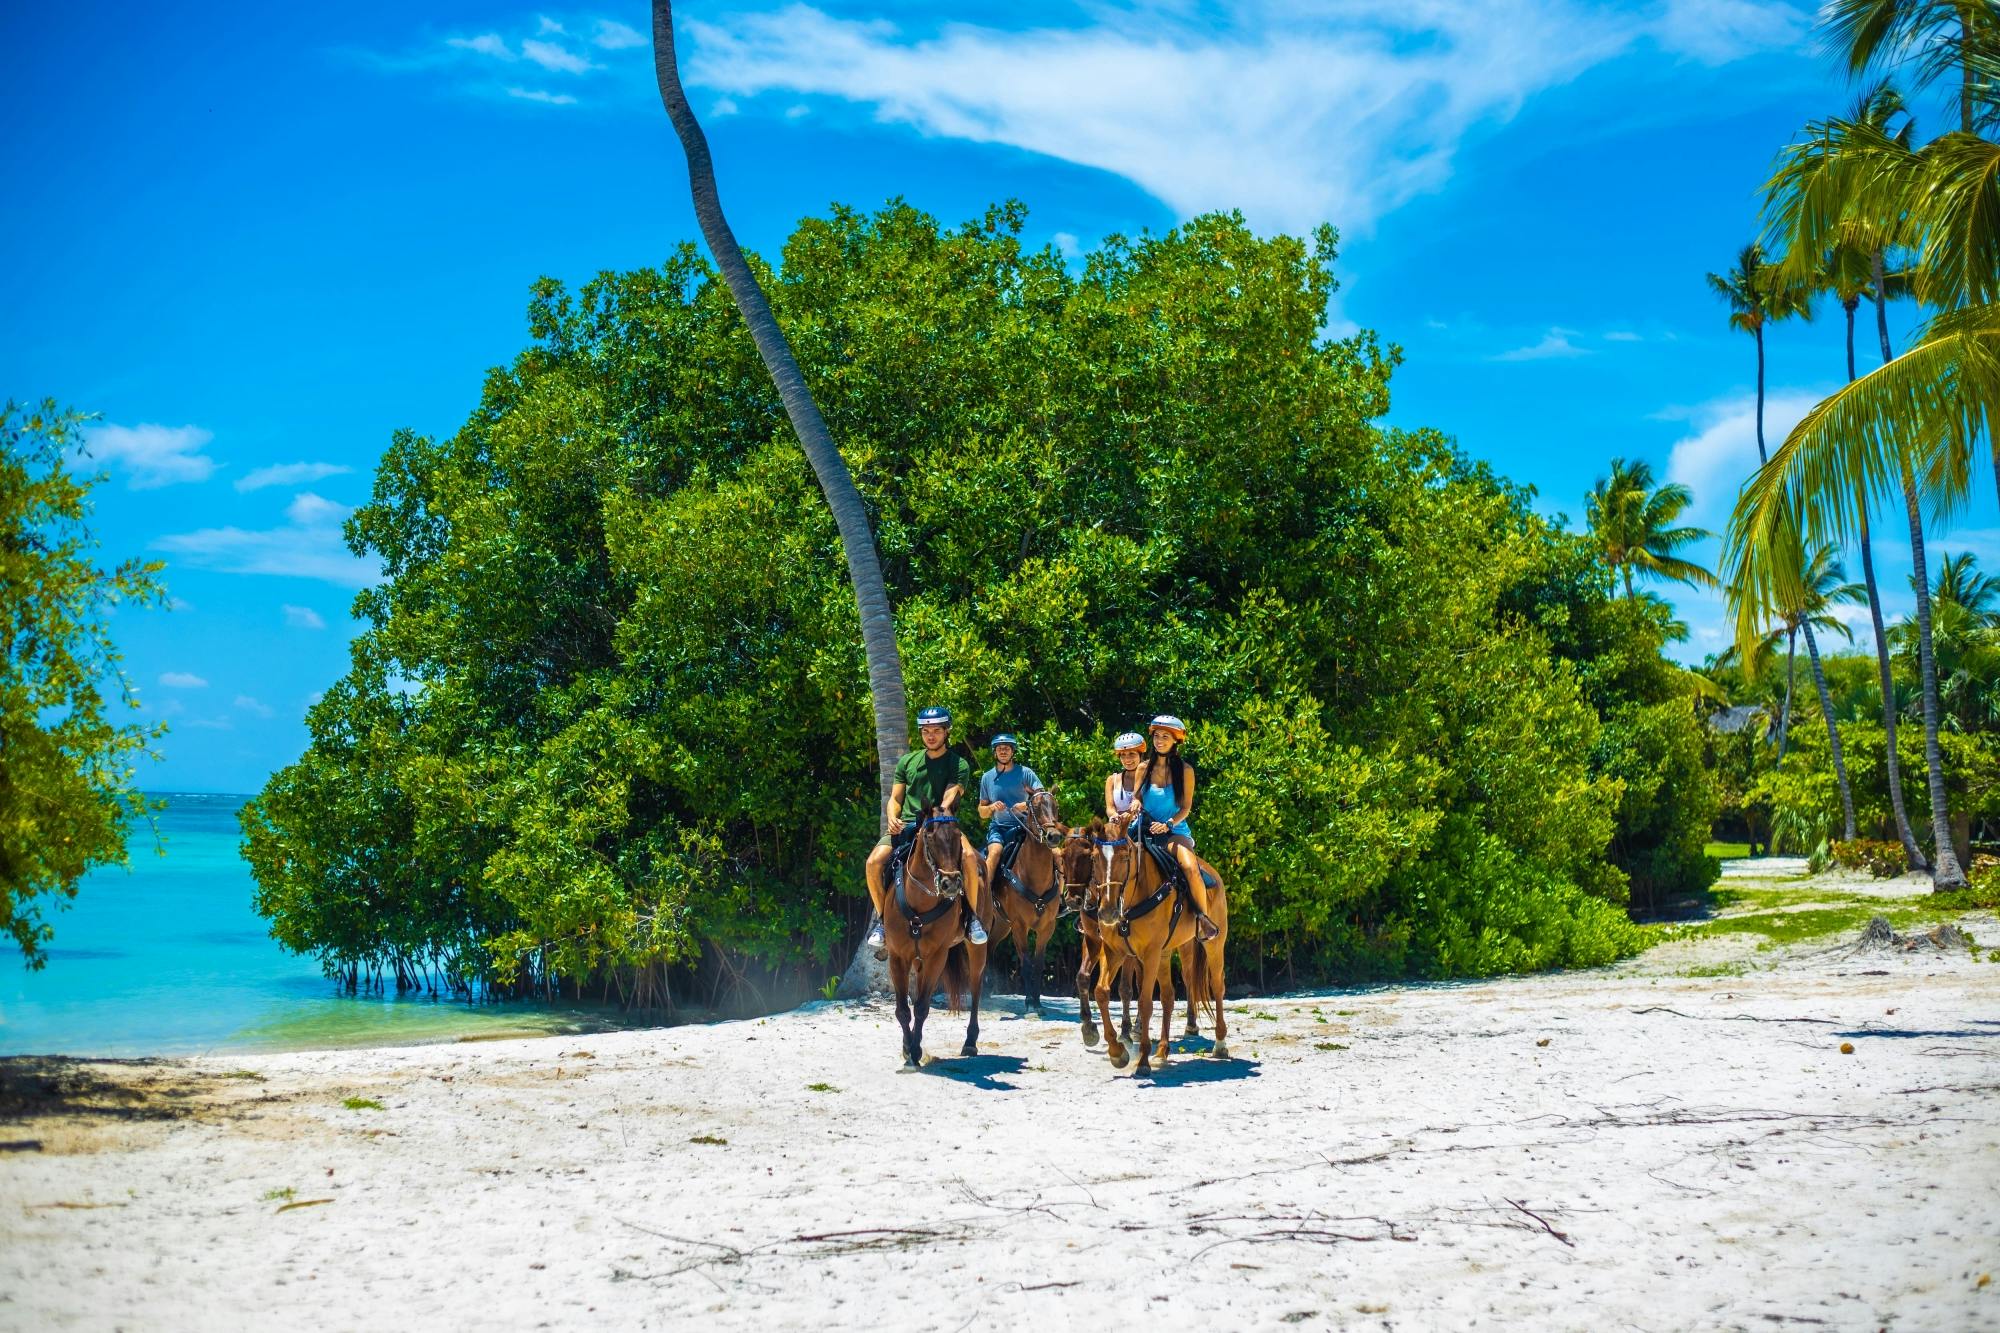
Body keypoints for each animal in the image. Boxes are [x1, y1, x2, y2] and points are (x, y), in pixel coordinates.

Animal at [884, 804, 992, 1064]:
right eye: (930, 836)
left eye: (957, 836)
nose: (950, 883)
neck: (919, 904)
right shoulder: (897, 956)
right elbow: (903, 1010)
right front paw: (908, 1047)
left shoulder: (936, 956)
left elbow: (922, 1007)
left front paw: (914, 1051)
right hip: (917, 959)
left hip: (976, 948)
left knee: (976, 986)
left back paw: (970, 1042)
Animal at [988, 784, 1072, 1012]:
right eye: (1035, 807)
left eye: (1055, 806)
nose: (1053, 836)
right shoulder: (1020, 926)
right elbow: (1025, 963)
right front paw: (1029, 1004)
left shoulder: (1047, 927)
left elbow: (1039, 963)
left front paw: (1037, 1002)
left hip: (1001, 925)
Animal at [1088, 808, 1224, 1072]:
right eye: (1094, 858)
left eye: (1125, 857)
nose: (1107, 912)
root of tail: (1212, 873)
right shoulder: (1114, 951)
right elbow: (1101, 992)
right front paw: (1117, 1053)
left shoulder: (1149, 955)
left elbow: (1145, 1003)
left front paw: (1141, 1061)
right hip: (1164, 953)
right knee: (1169, 997)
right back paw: (1162, 1051)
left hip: (1214, 944)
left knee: (1217, 986)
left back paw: (1221, 1044)